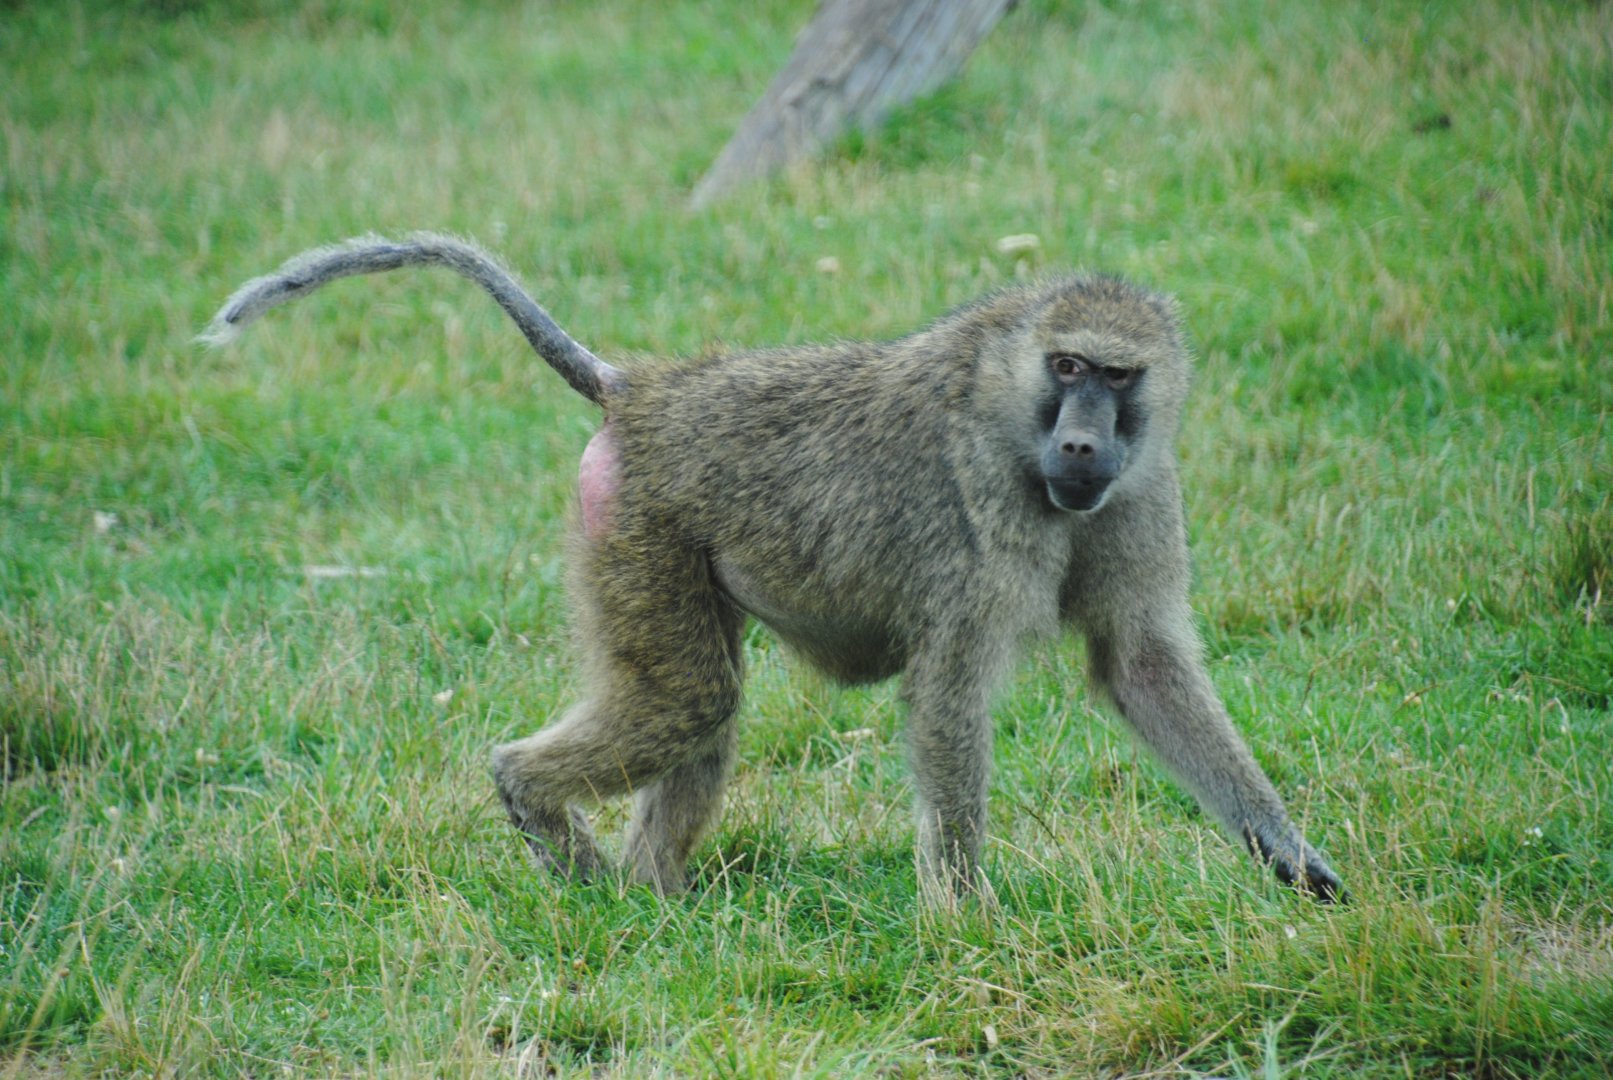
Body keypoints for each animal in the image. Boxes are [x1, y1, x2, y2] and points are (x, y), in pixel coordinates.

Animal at [204, 233, 1344, 905]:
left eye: (1118, 377)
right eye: (1065, 368)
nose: (1077, 445)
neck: (1014, 414)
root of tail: (642, 391)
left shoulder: (1140, 492)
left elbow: (1137, 667)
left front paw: (1287, 854)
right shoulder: (975, 524)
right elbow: (947, 697)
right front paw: (964, 915)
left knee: (701, 710)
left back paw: (652, 900)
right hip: (640, 531)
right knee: (687, 701)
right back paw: (544, 817)